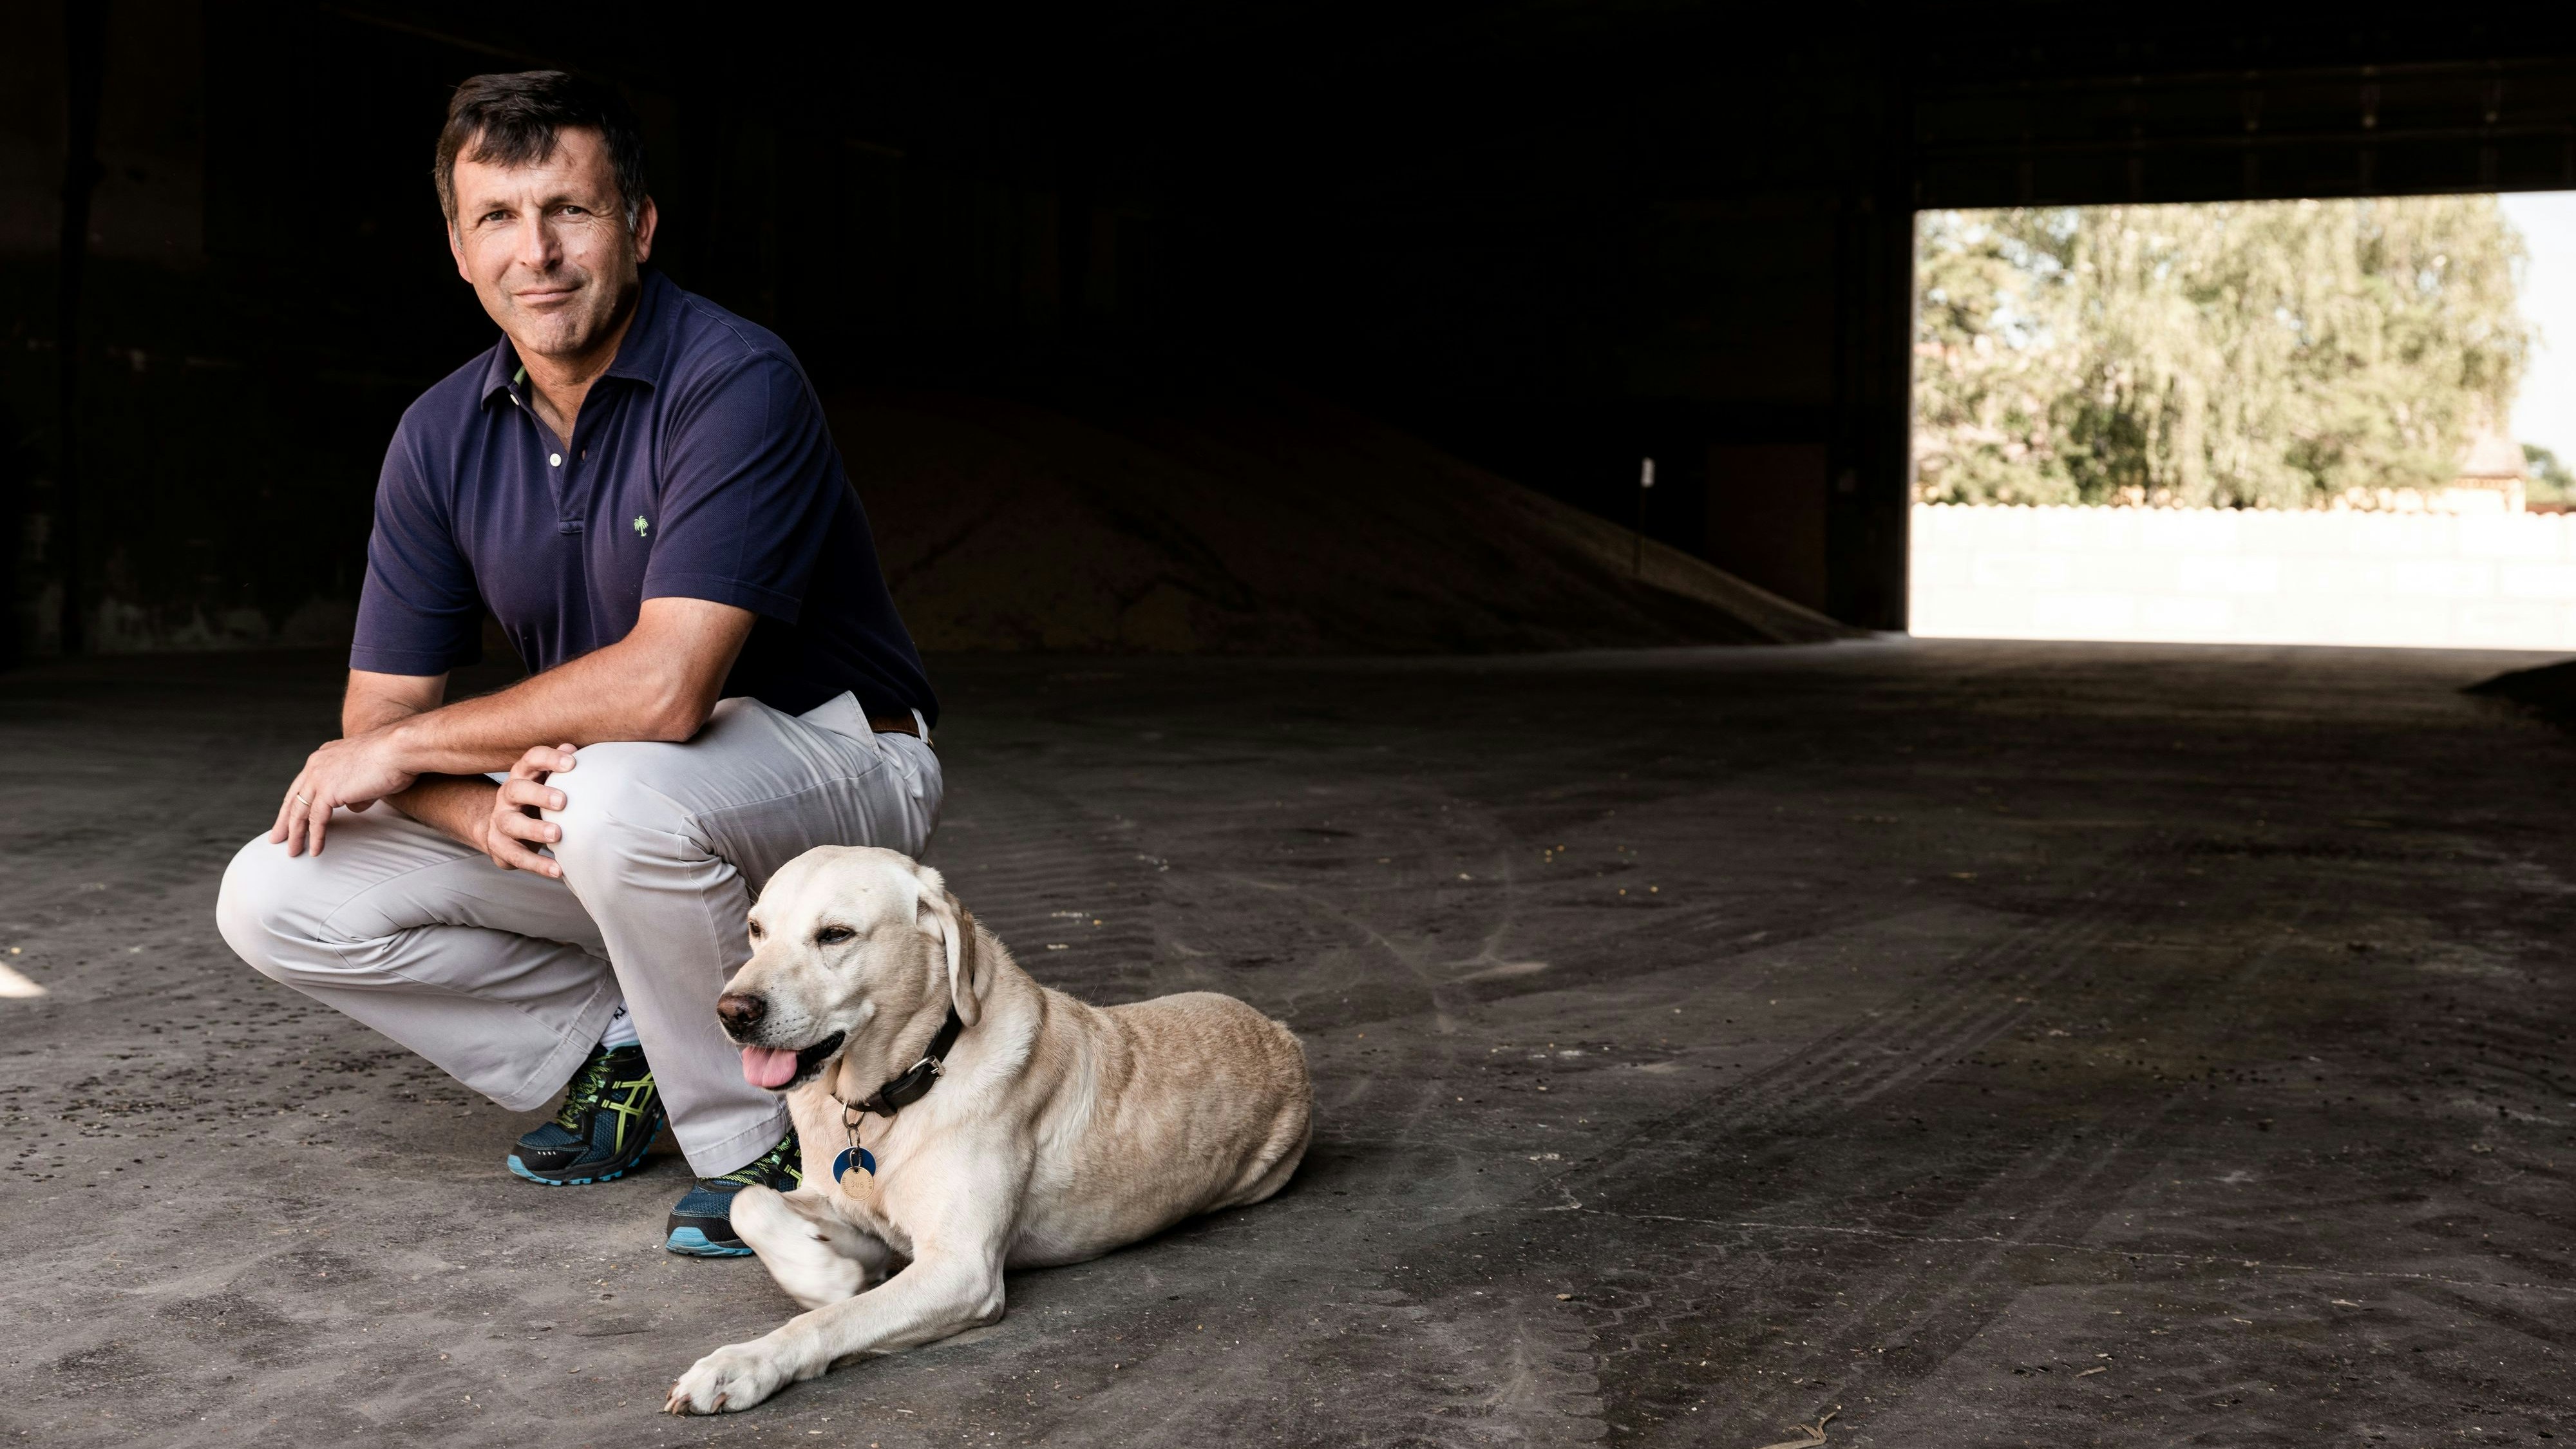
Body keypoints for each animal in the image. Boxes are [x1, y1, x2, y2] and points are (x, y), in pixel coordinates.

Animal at [665, 840, 1309, 1402]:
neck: (900, 1085)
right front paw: (822, 1269)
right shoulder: (852, 1212)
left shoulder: (961, 1269)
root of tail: (1283, 1033)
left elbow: (833, 1320)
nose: (732, 1013)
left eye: (836, 935)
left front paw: (745, 1362)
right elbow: (751, 1204)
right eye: (756, 929)